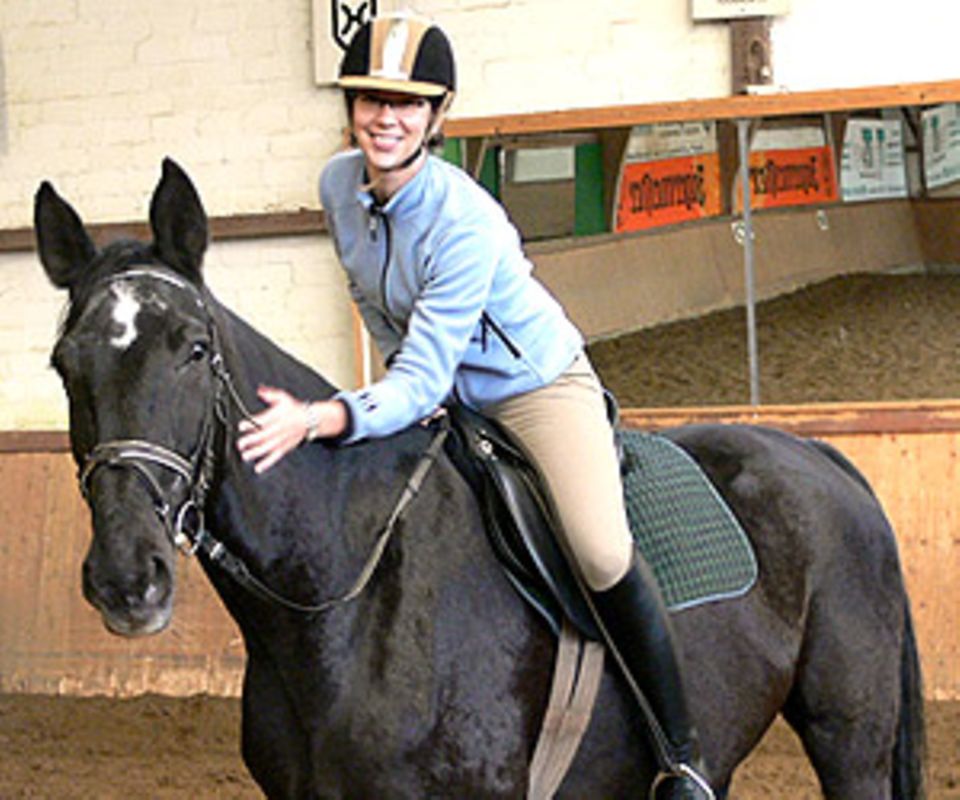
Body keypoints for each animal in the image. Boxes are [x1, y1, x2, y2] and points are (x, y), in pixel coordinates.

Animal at [35, 159, 924, 796]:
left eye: (193, 348)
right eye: (64, 364)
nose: (128, 580)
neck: (347, 596)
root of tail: (817, 453)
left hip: (849, 740)